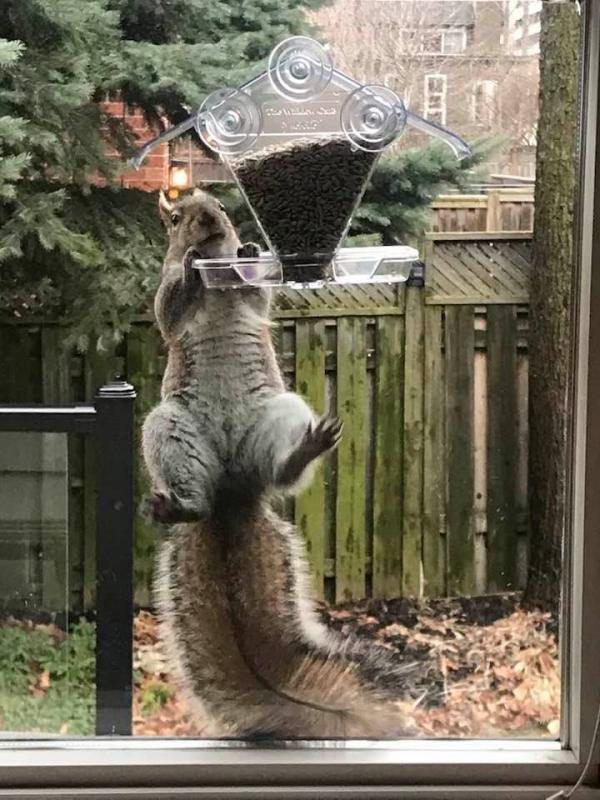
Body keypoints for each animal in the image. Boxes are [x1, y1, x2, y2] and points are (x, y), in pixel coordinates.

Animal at [143, 188, 419, 738]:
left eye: (220, 208)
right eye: (179, 216)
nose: (208, 222)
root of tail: (232, 493)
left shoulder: (250, 298)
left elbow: (258, 298)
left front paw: (249, 250)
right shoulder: (165, 295)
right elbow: (168, 308)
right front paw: (189, 264)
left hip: (280, 413)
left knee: (282, 473)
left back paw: (303, 452)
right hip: (170, 428)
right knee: (194, 491)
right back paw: (180, 506)